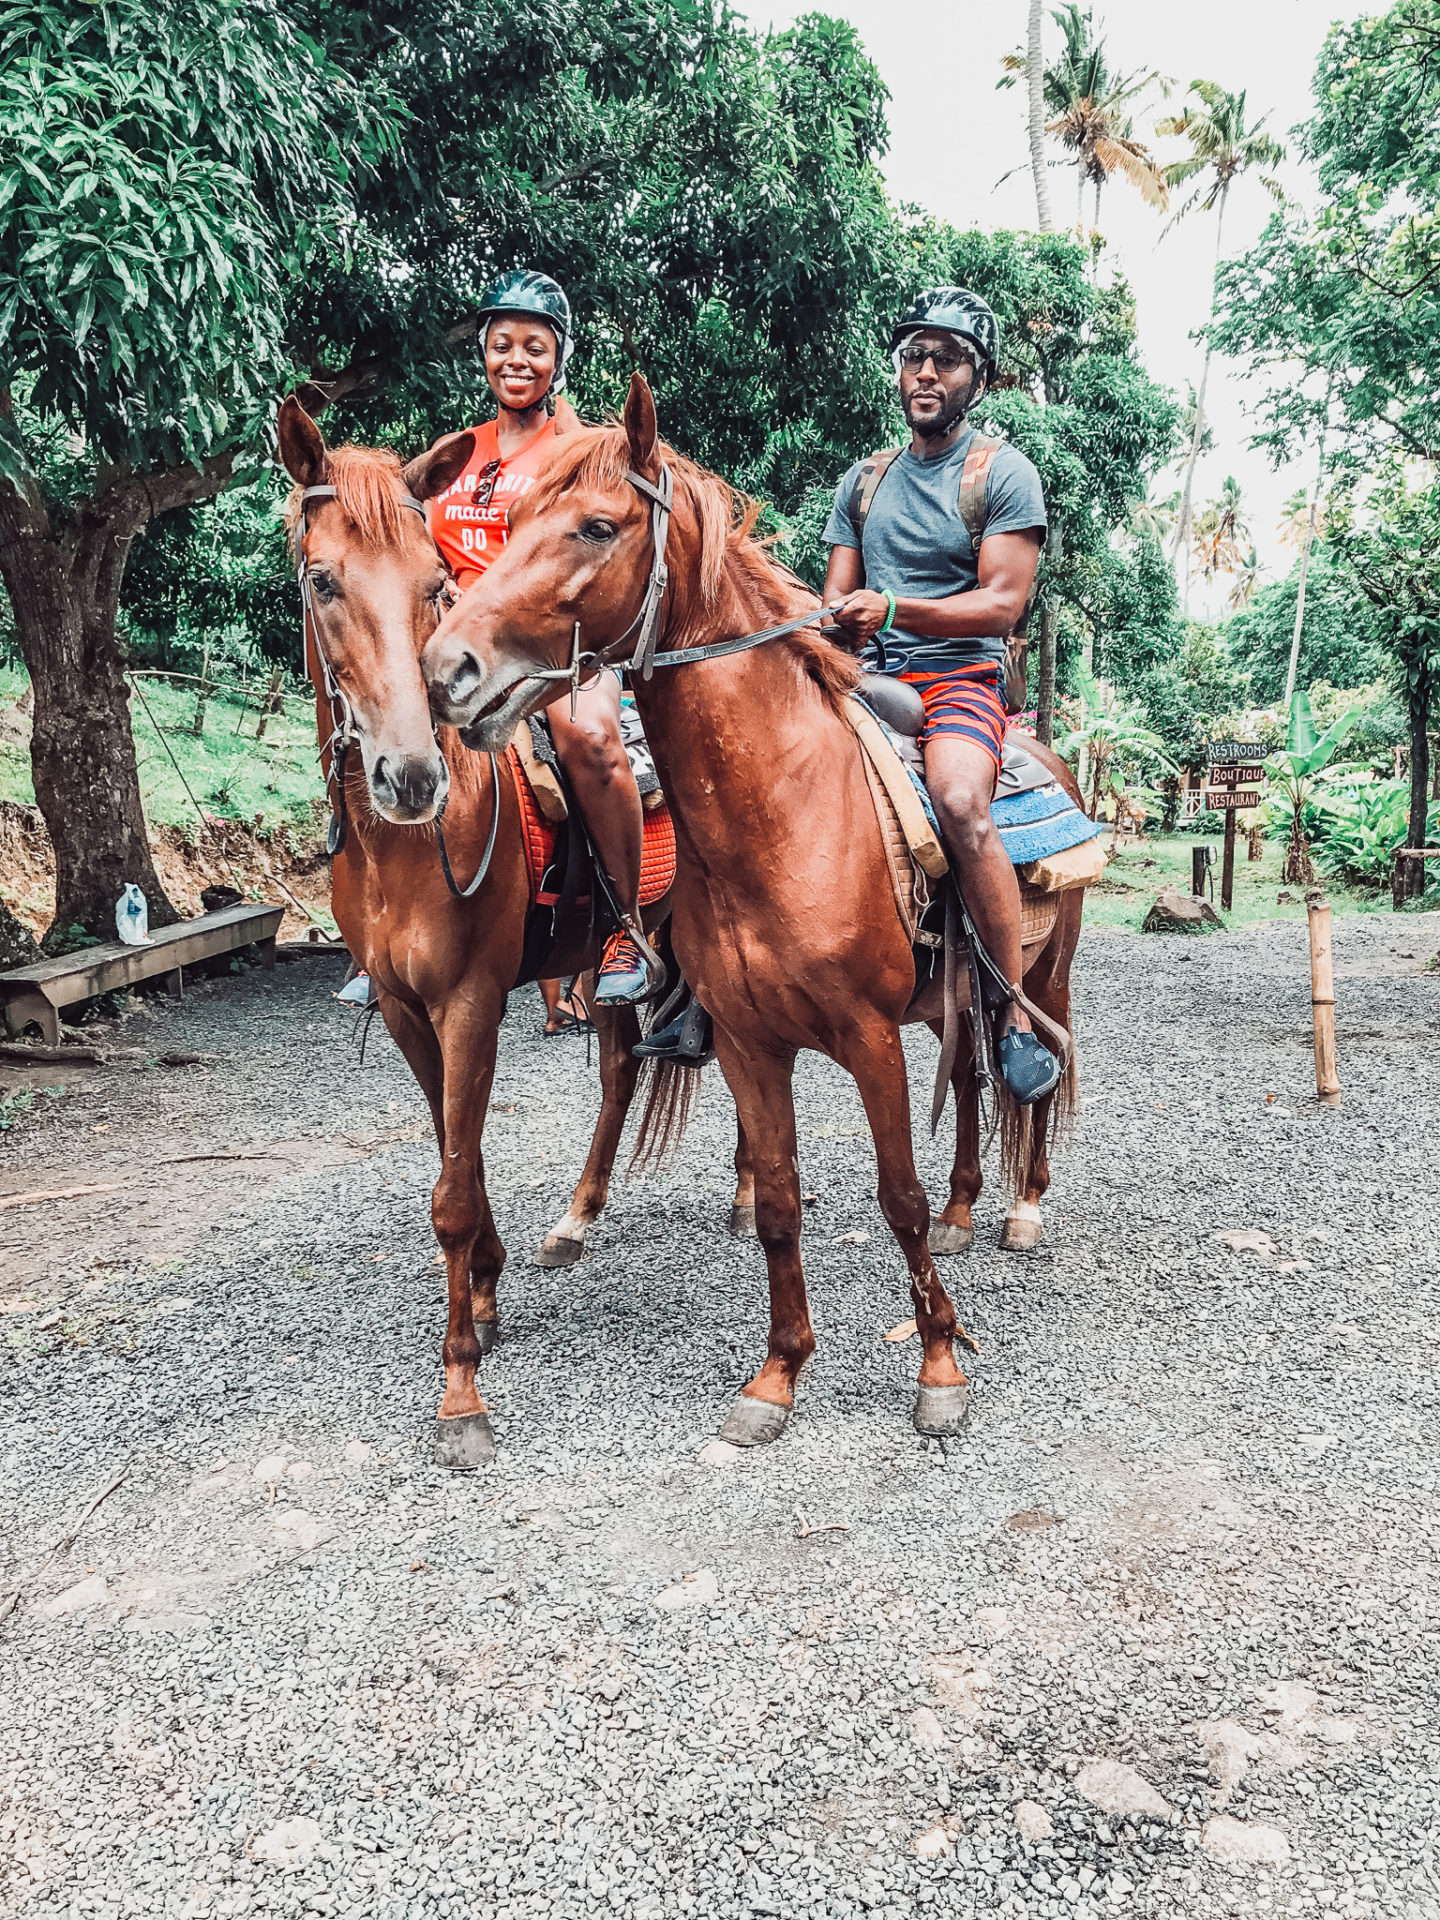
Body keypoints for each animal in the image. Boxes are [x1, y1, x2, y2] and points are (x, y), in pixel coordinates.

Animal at [278, 389, 702, 1459]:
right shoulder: (403, 1011)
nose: (409, 775)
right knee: (621, 1072)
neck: (403, 850)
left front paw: (462, 1387)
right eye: (322, 580)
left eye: (434, 583)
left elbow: (453, 1192)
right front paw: (487, 1285)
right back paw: (575, 1221)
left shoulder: (472, 1001)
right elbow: (451, 1151)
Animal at [422, 374, 1090, 1443]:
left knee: (1035, 1065)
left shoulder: (867, 1037)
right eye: (511, 522)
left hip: (1047, 971)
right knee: (971, 1073)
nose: (448, 670)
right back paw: (966, 1208)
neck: (783, 809)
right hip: (952, 996)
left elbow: (895, 1197)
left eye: (597, 526)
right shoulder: (745, 1041)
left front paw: (940, 1366)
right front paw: (777, 1376)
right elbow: (777, 1202)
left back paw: (1022, 1205)